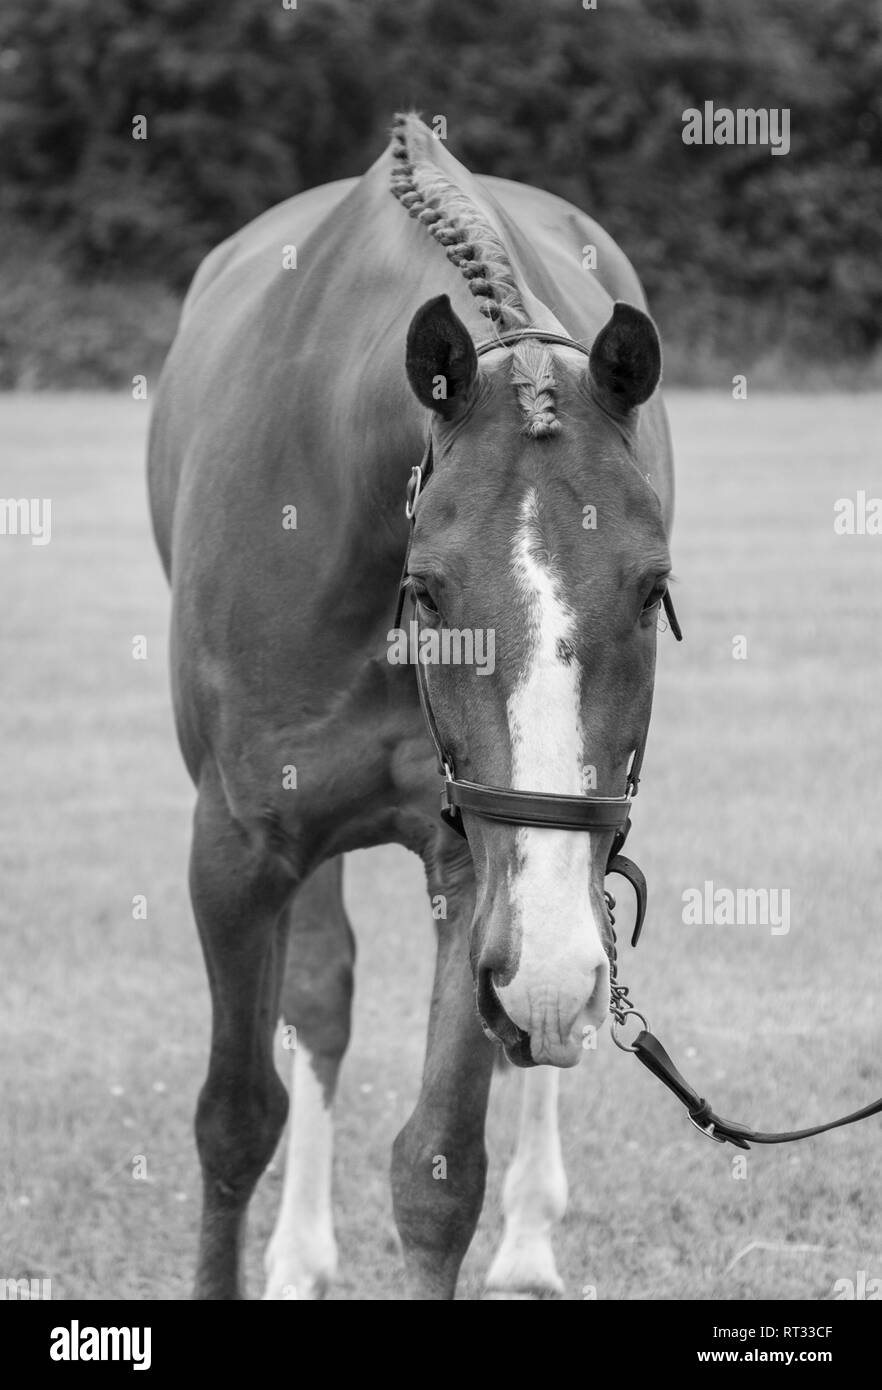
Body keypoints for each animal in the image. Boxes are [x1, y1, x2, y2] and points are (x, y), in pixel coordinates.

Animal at [147, 111, 675, 1301]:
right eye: (429, 587)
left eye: (651, 588)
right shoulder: (235, 845)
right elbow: (235, 1120)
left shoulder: (474, 857)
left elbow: (438, 1171)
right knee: (323, 1002)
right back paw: (300, 1251)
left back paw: (529, 1238)